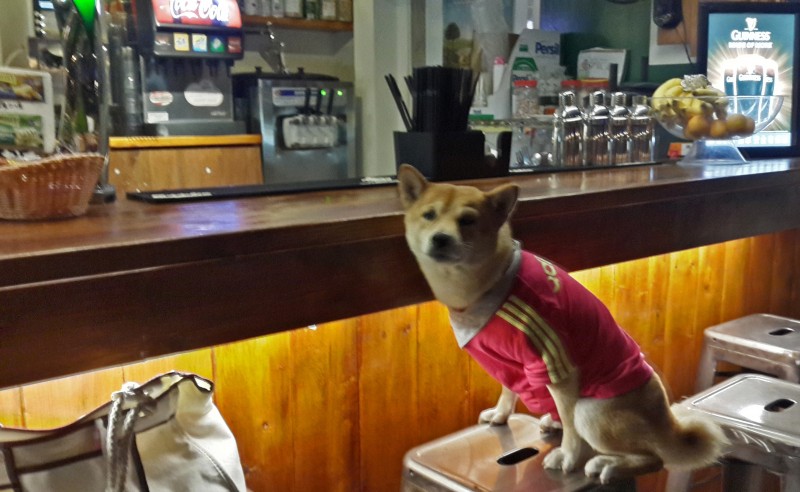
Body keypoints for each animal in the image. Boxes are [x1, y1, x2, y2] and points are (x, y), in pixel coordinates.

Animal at [396, 165, 728, 484]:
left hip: (590, 409)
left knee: (653, 458)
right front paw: (501, 415)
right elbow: (508, 391)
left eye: (467, 220)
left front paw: (567, 458)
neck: (494, 279)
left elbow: (570, 431)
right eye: (429, 215)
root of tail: (667, 426)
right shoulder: (511, 363)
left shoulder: (557, 367)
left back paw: (608, 465)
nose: (441, 238)